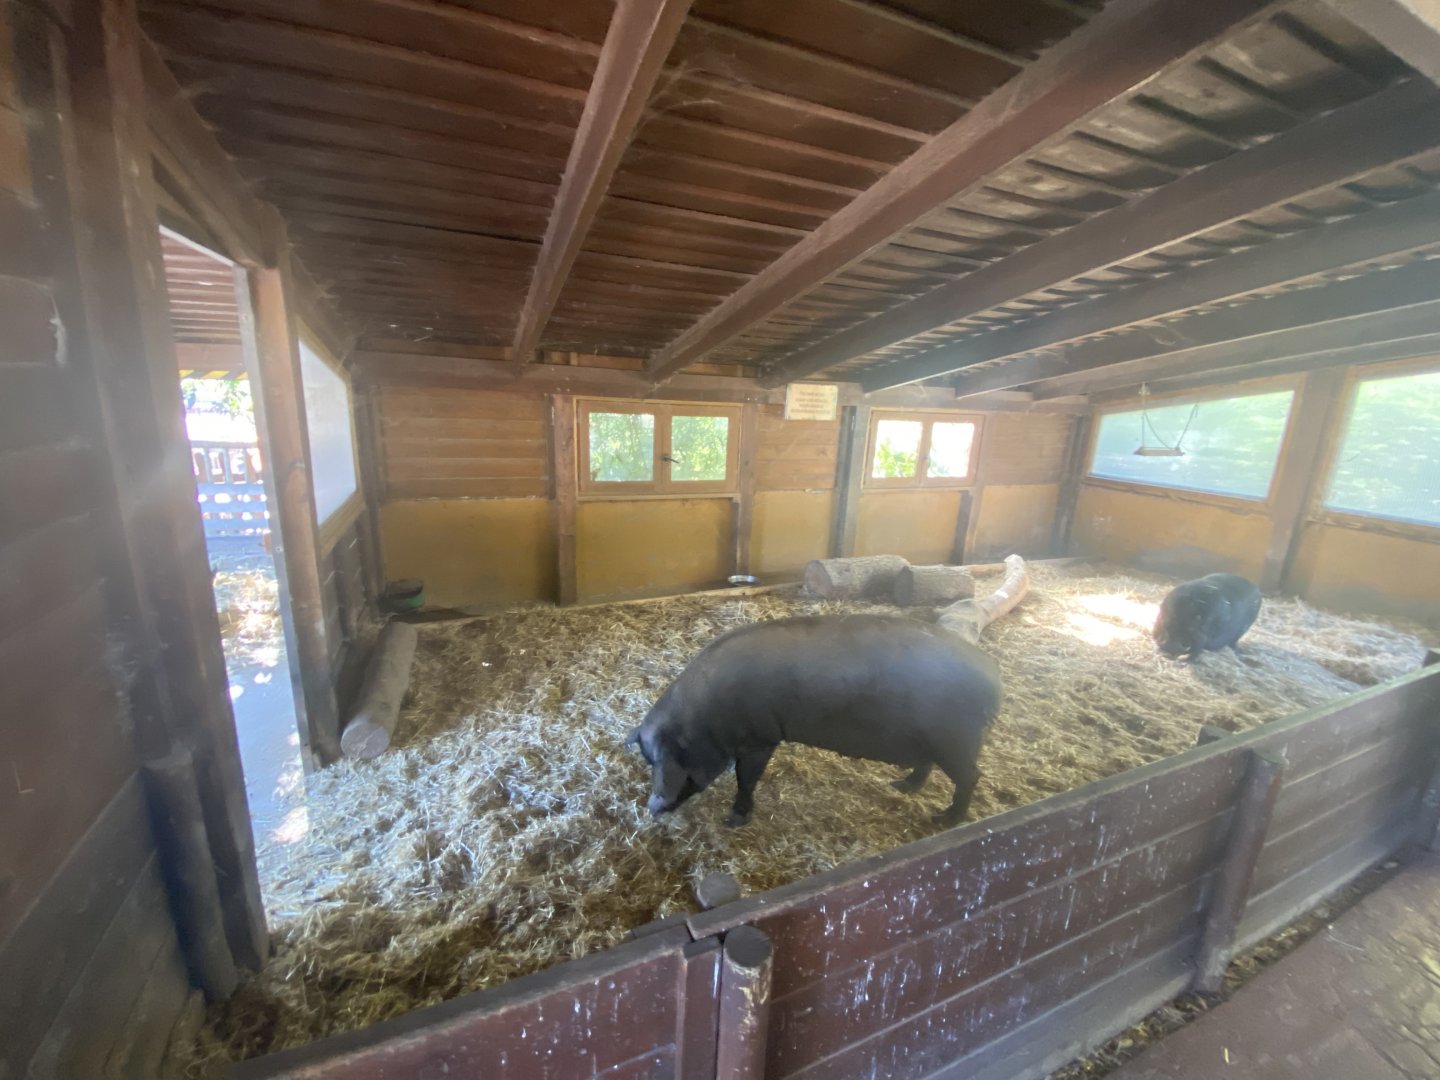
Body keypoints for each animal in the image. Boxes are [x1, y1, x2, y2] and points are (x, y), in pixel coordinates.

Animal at [626, 614, 1002, 828]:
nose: (651, 808)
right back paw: (901, 787)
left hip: (956, 739)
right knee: (927, 765)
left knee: (973, 776)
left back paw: (944, 820)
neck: (707, 722)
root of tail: (993, 677)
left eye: (668, 759)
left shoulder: (760, 738)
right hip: (933, 739)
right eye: (648, 760)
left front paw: (733, 821)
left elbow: (746, 780)